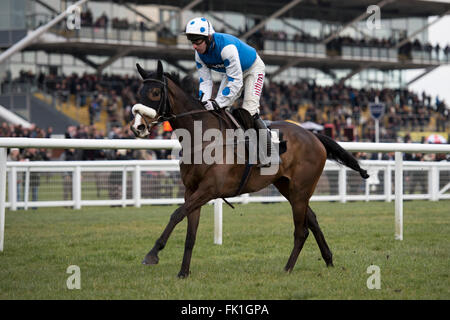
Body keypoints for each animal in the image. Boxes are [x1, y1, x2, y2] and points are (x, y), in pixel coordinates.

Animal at [130, 60, 370, 278]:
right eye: (139, 91)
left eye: (154, 92)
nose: (137, 127)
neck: (202, 137)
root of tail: (313, 135)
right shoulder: (192, 191)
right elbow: (190, 233)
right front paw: (183, 272)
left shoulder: (209, 189)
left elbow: (176, 214)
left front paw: (153, 254)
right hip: (288, 188)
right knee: (312, 220)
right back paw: (328, 260)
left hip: (301, 189)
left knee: (301, 231)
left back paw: (288, 268)